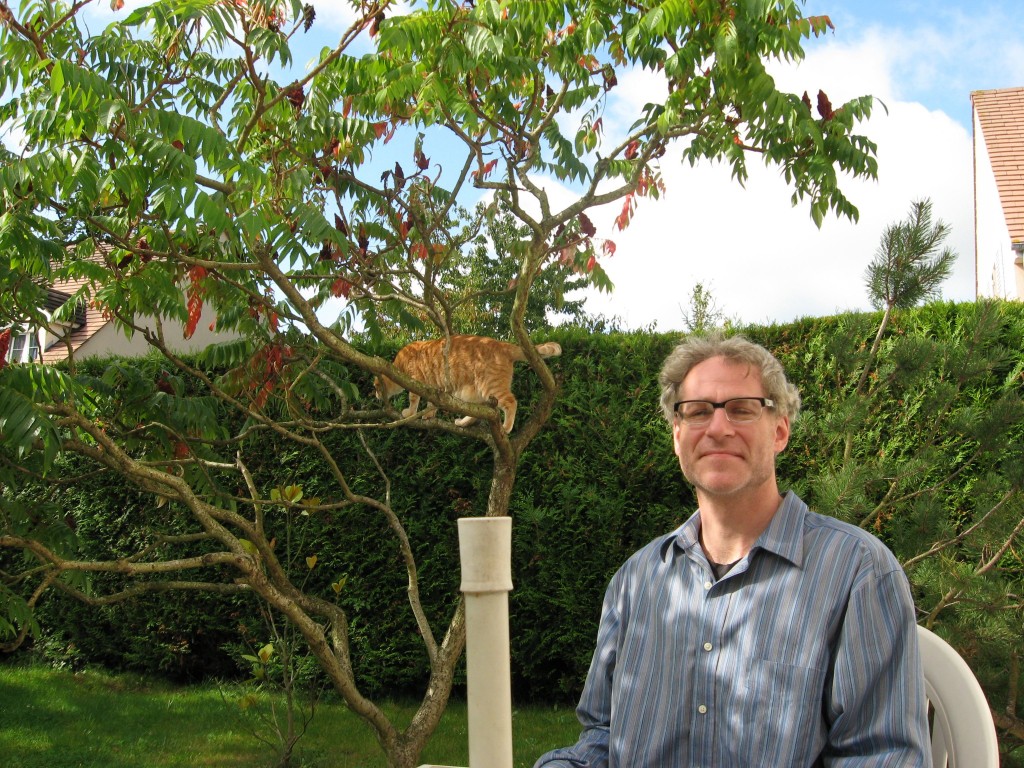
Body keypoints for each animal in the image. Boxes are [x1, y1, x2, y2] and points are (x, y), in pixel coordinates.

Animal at [376, 335, 565, 434]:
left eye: (375, 387)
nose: (377, 395)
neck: (400, 363)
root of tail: (502, 344)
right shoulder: (434, 389)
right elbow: (430, 404)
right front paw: (428, 415)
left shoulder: (416, 381)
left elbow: (413, 400)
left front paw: (409, 412)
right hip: (475, 394)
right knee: (476, 413)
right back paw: (462, 423)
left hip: (490, 387)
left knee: (511, 402)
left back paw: (506, 427)